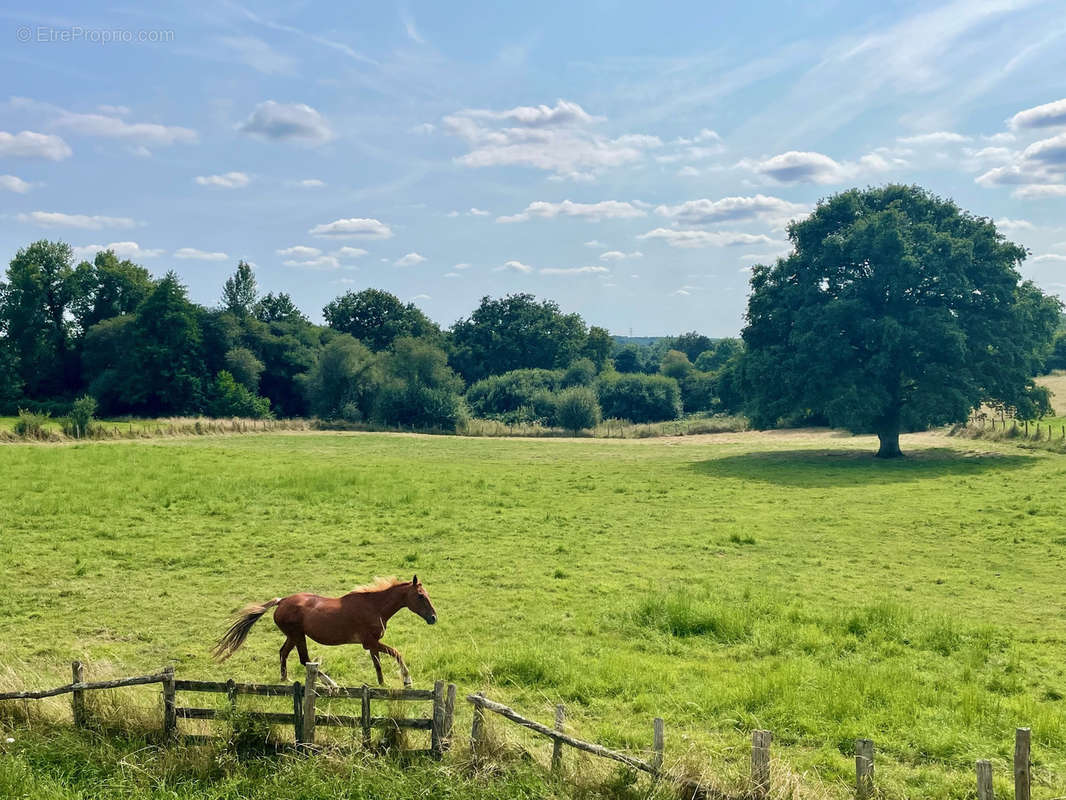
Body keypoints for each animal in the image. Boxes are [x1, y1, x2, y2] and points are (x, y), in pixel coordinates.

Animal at [212, 576, 437, 691]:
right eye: (420, 596)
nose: (433, 618)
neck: (374, 607)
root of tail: (281, 601)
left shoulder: (372, 644)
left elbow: (378, 664)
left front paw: (382, 684)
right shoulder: (370, 642)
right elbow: (396, 653)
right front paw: (407, 680)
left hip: (293, 636)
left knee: (283, 653)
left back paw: (285, 679)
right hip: (298, 636)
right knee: (305, 660)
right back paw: (331, 683)